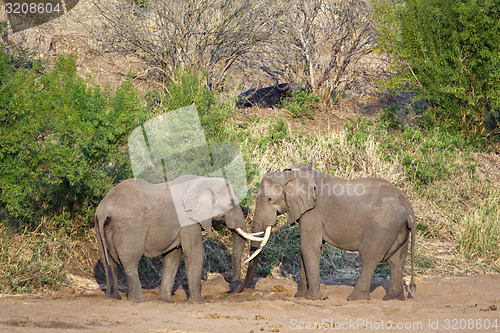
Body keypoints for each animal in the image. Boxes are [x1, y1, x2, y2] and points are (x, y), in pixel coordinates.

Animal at [95, 175, 264, 302]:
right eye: (231, 203)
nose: (228, 277)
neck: (204, 182)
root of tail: (104, 208)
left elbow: (173, 256)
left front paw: (166, 301)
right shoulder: (188, 220)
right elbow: (195, 253)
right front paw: (198, 302)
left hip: (100, 225)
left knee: (108, 261)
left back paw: (113, 297)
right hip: (129, 227)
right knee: (131, 260)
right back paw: (140, 300)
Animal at [236, 163, 416, 300]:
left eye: (269, 199)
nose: (237, 291)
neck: (293, 175)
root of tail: (409, 211)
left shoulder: (313, 213)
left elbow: (309, 246)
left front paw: (313, 297)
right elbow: (307, 249)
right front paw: (301, 296)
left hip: (381, 226)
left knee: (370, 257)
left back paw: (355, 298)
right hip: (396, 228)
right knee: (396, 260)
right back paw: (393, 298)